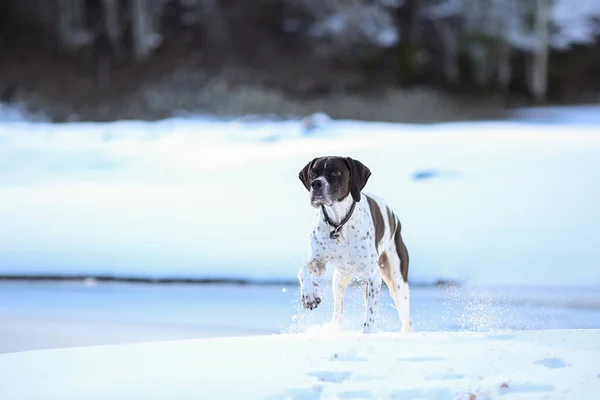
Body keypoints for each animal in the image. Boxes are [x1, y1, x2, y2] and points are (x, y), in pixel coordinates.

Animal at [296, 155, 412, 332]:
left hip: (397, 282)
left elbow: (369, 315)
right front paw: (309, 296)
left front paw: (366, 334)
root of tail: (394, 217)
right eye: (313, 173)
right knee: (338, 311)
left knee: (406, 319)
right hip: (340, 279)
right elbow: (303, 271)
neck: (338, 224)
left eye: (336, 172)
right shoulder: (318, 264)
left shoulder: (373, 275)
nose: (316, 184)